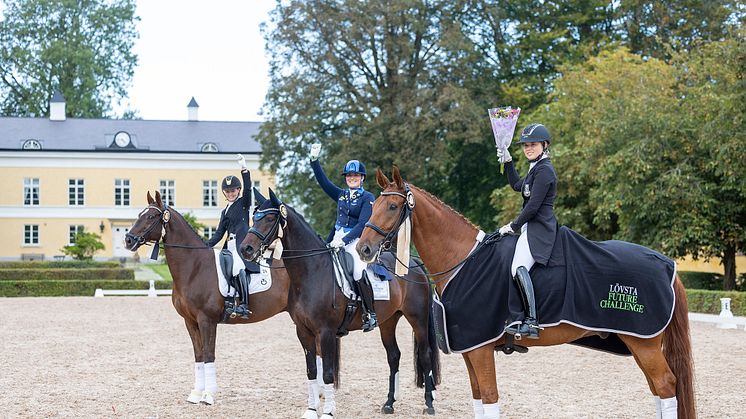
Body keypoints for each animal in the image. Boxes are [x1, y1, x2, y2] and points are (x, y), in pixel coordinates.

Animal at [123, 191, 290, 406]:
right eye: (139, 215)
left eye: (151, 217)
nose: (128, 240)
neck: (195, 266)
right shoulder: (190, 321)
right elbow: (199, 355)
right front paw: (196, 393)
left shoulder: (207, 320)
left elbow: (209, 355)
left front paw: (209, 395)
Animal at [238, 190, 438, 419]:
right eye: (254, 218)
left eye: (270, 218)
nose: (245, 249)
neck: (312, 271)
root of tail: (414, 263)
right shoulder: (303, 332)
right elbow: (312, 371)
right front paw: (311, 410)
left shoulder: (326, 332)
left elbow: (327, 373)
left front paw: (327, 412)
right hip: (388, 321)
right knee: (394, 356)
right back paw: (389, 404)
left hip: (418, 320)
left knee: (425, 355)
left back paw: (429, 404)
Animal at [358, 167, 696, 419]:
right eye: (373, 205)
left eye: (392, 206)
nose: (364, 249)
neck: (463, 259)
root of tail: (666, 263)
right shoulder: (470, 348)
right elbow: (478, 399)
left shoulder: (481, 348)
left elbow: (490, 398)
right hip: (641, 343)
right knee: (658, 388)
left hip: (644, 342)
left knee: (666, 385)